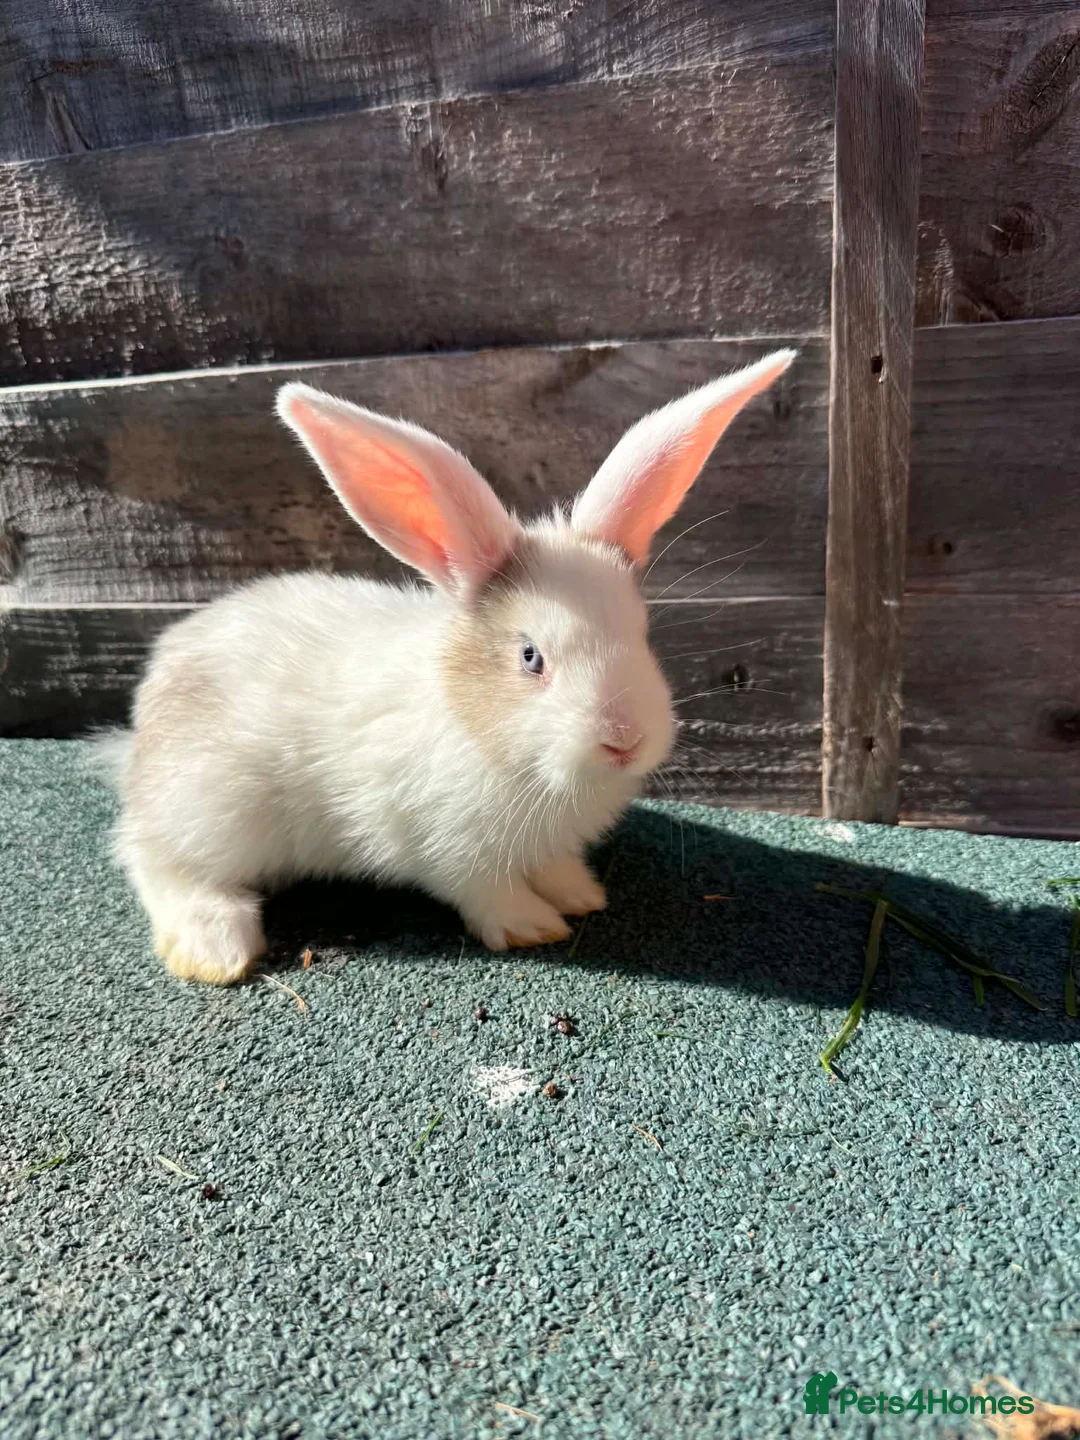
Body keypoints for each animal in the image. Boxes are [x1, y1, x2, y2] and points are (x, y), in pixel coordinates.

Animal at [111, 348, 795, 984]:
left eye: (642, 634)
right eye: (530, 657)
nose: (624, 740)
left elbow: (554, 868)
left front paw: (581, 896)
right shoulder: (443, 846)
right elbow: (486, 890)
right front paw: (534, 926)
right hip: (211, 812)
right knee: (154, 862)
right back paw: (214, 949)